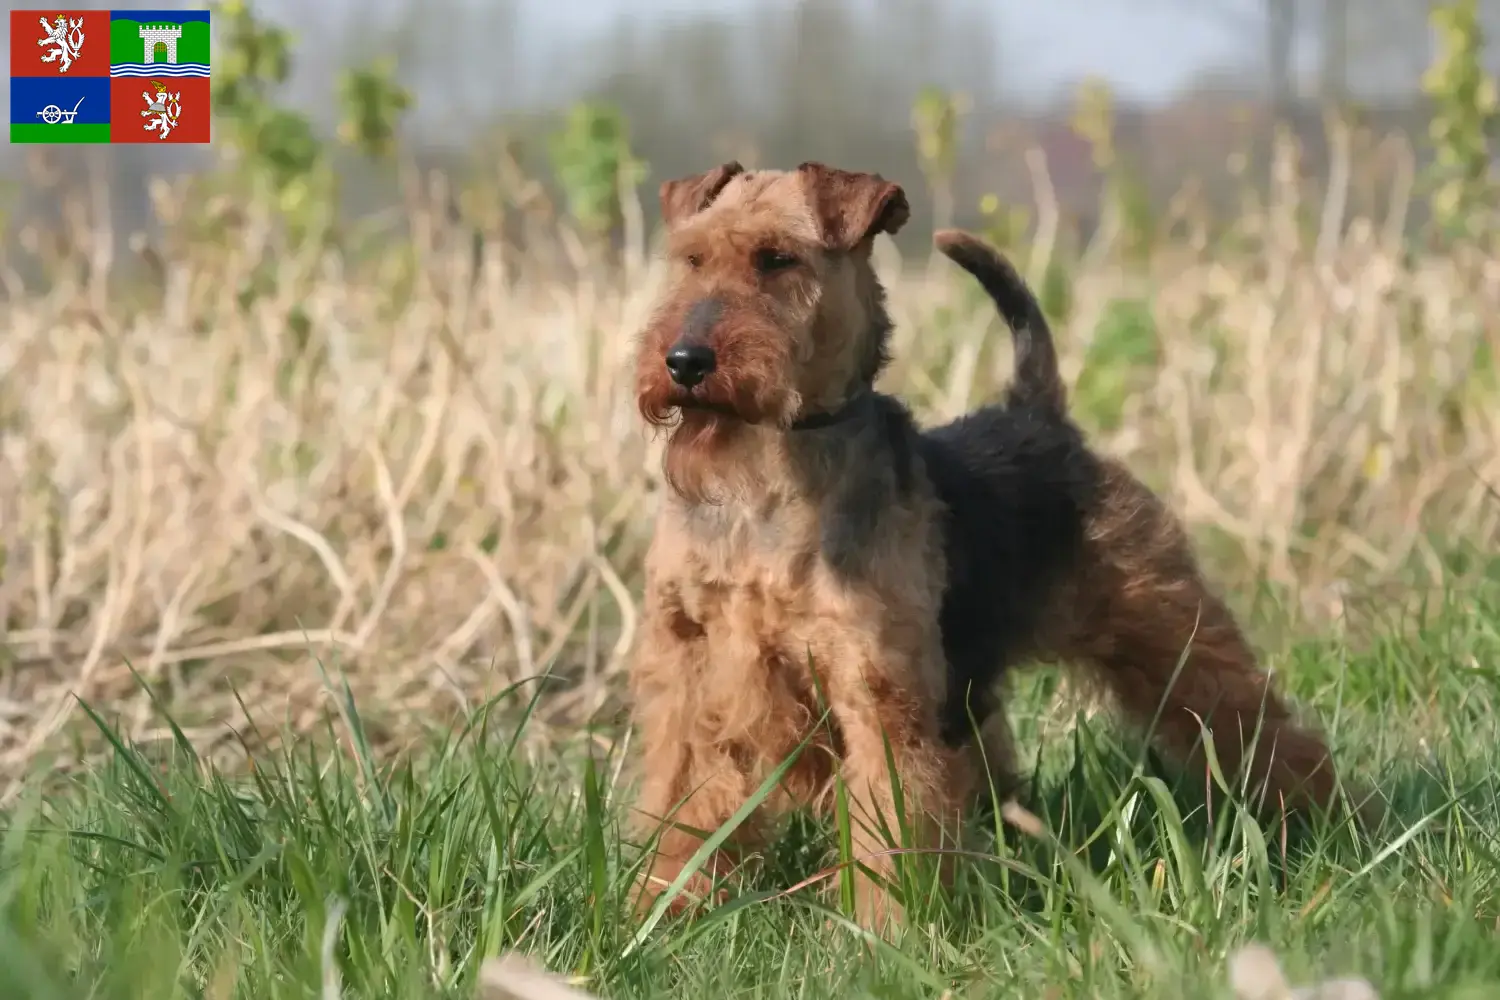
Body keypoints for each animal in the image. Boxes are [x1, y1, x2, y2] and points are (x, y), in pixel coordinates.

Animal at [621, 160, 1350, 935]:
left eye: (776, 258)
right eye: (691, 258)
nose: (684, 361)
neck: (765, 475)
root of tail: (1041, 414)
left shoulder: (878, 692)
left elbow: (891, 825)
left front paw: (885, 934)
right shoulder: (692, 672)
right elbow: (680, 803)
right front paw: (661, 906)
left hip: (1171, 635)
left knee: (1263, 729)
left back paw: (1330, 824)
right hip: (976, 691)